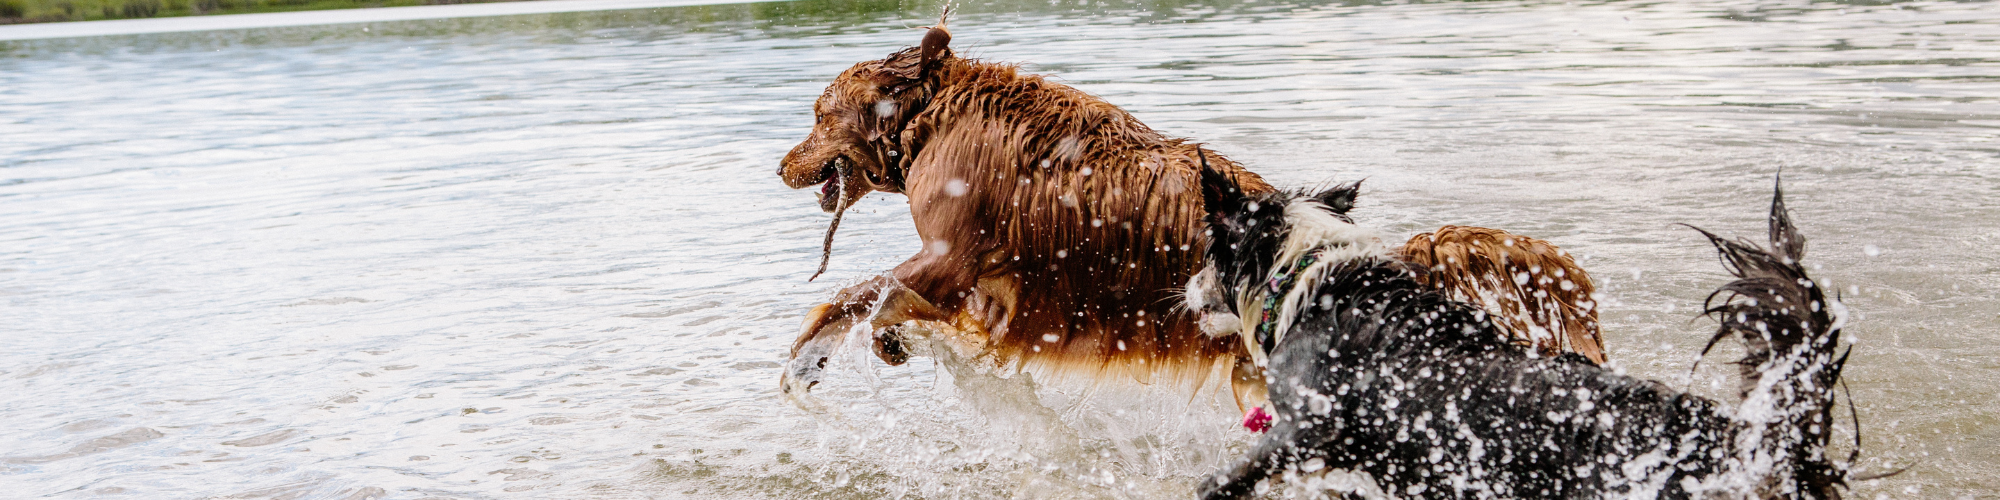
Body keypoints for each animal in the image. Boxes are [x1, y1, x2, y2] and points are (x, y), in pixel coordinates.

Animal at [776, 21, 1608, 402]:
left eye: (817, 115)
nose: (782, 165)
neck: (933, 116)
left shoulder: (955, 253)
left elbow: (861, 293)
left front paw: (825, 355)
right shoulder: (982, 281)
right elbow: (880, 299)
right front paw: (867, 345)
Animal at [1184, 166, 1856, 498]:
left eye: (1207, 253)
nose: (1187, 287)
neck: (1309, 278)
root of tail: (1735, 437)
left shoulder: (1307, 429)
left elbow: (1216, 484)